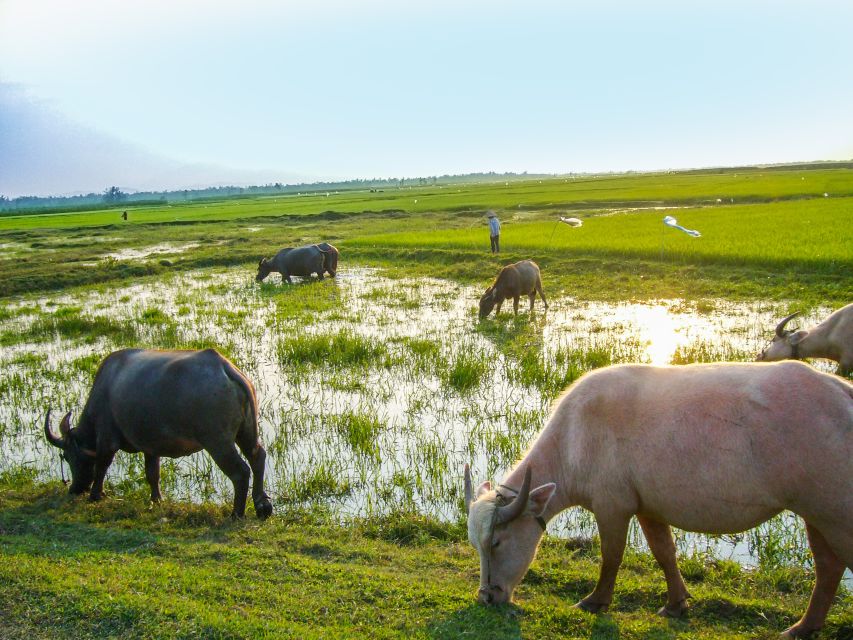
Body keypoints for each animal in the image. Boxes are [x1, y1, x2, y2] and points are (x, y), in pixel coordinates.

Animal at [43, 344, 272, 520]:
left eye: (67, 456)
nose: (75, 489)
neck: (105, 388)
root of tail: (225, 368)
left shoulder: (107, 440)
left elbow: (101, 465)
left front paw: (95, 495)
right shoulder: (151, 447)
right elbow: (152, 474)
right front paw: (156, 500)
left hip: (218, 443)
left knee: (240, 472)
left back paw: (237, 513)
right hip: (246, 432)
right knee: (257, 457)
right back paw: (263, 506)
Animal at [466, 362, 852, 636]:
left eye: (497, 542)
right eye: (476, 545)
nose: (487, 597)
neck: (575, 438)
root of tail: (841, 392)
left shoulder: (612, 507)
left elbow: (611, 556)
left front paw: (596, 601)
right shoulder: (648, 508)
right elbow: (664, 553)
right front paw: (676, 603)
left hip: (834, 514)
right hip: (815, 514)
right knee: (829, 568)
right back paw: (804, 627)